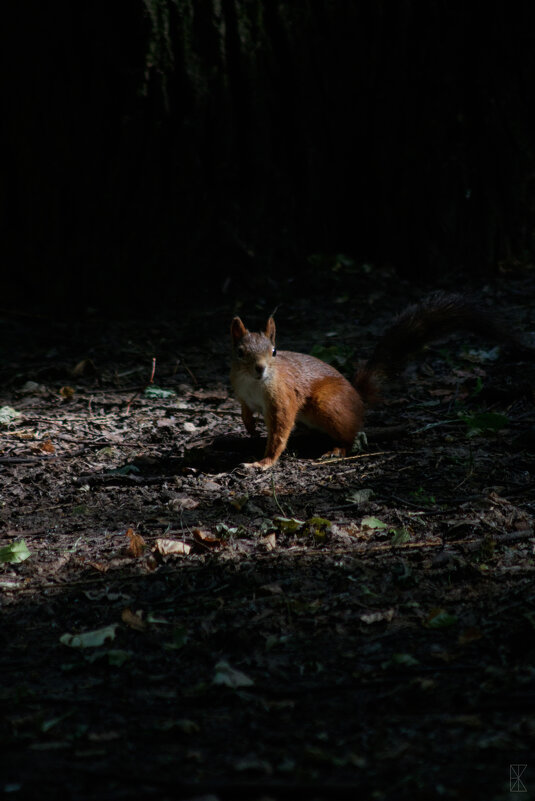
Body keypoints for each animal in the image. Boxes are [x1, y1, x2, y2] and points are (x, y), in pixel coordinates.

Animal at [230, 292, 519, 470]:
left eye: (274, 351)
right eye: (240, 352)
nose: (260, 369)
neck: (255, 384)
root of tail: (357, 398)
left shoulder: (282, 398)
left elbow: (280, 430)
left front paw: (263, 462)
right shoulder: (241, 392)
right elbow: (245, 410)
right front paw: (250, 427)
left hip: (327, 404)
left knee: (350, 435)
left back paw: (337, 449)